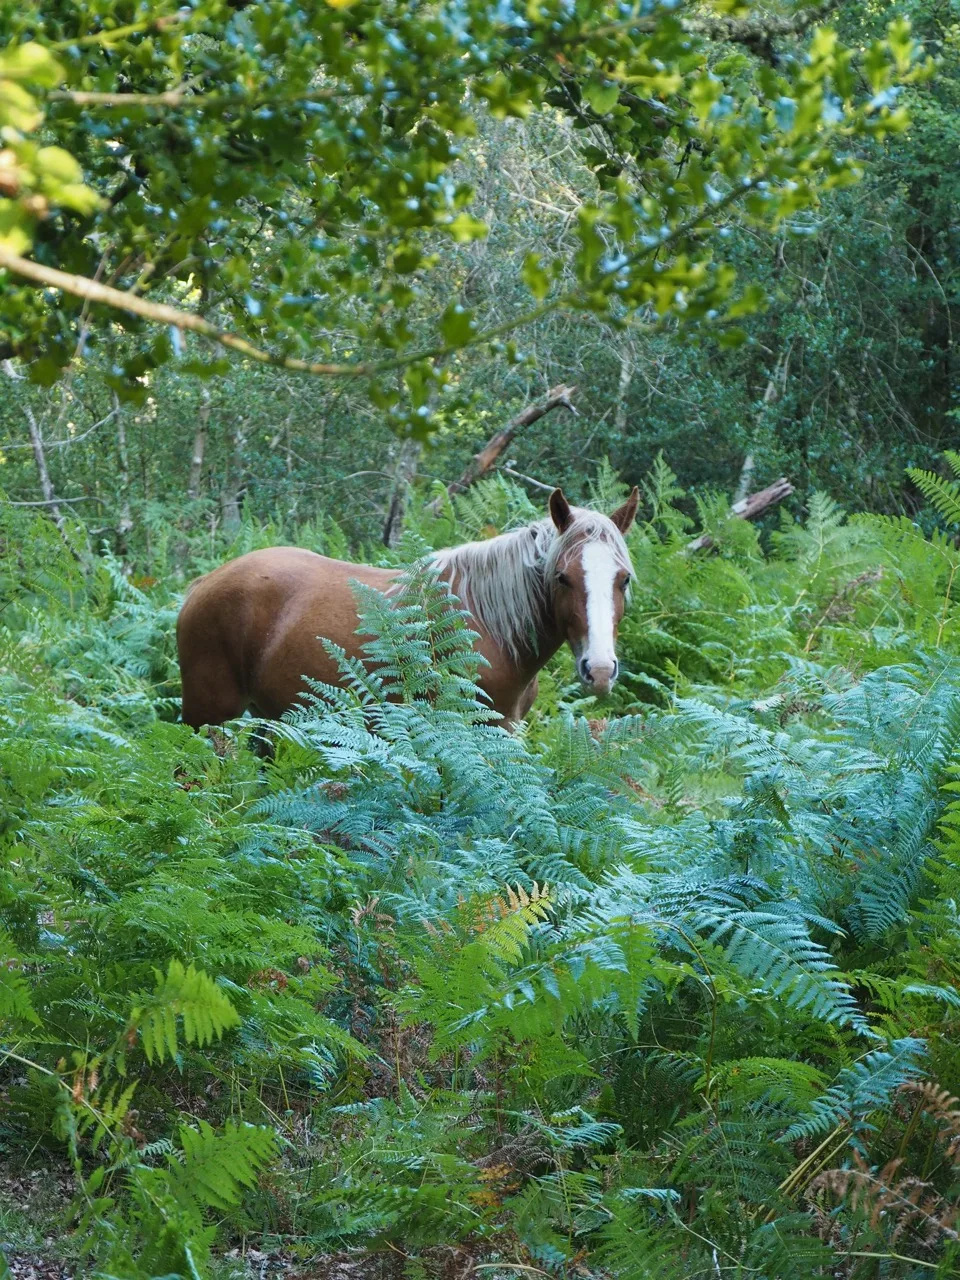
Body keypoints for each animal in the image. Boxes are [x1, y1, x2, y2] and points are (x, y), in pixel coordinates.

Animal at [176, 486, 639, 732]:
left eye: (623, 579)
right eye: (562, 577)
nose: (599, 670)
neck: (486, 625)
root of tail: (203, 585)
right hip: (207, 717)